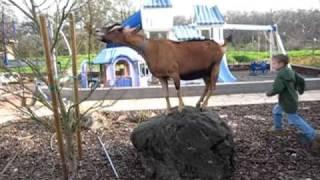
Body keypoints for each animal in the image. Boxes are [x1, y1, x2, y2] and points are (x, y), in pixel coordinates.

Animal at [96, 23, 229, 111]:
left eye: (118, 29)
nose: (97, 31)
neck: (151, 49)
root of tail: (220, 46)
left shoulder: (174, 73)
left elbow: (177, 90)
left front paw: (181, 108)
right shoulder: (162, 77)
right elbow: (165, 94)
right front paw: (168, 111)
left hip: (215, 66)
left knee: (213, 87)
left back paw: (204, 106)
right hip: (205, 72)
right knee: (207, 86)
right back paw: (198, 103)